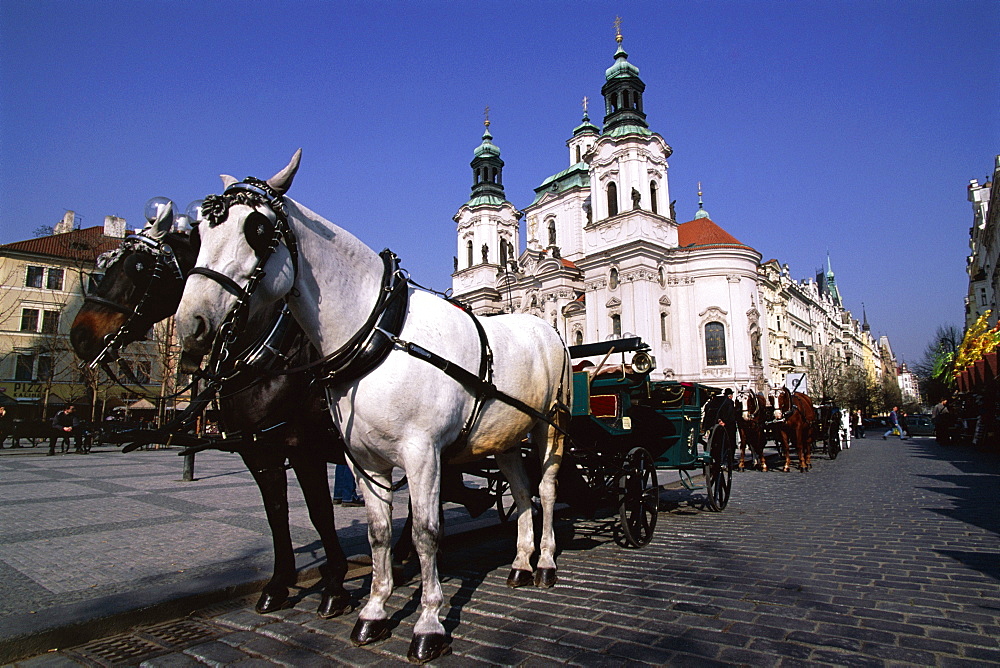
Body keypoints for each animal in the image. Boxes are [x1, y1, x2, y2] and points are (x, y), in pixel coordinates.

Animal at [174, 151, 572, 664]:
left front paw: (427, 623)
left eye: (257, 230)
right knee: (521, 493)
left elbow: (425, 531)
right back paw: (520, 562)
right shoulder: (361, 460)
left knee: (545, 489)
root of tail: (546, 329)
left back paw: (544, 563)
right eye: (200, 233)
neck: (380, 334)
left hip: (549, 428)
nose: (192, 324)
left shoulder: (420, 455)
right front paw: (373, 611)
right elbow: (376, 531)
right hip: (503, 436)